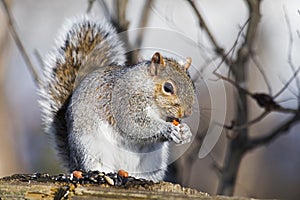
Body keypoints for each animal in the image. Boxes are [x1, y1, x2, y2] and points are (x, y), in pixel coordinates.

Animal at [38, 16, 195, 183]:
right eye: (168, 88)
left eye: (193, 85)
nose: (186, 113)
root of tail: (75, 164)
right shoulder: (123, 104)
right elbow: (136, 125)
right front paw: (168, 129)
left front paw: (185, 132)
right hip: (90, 150)